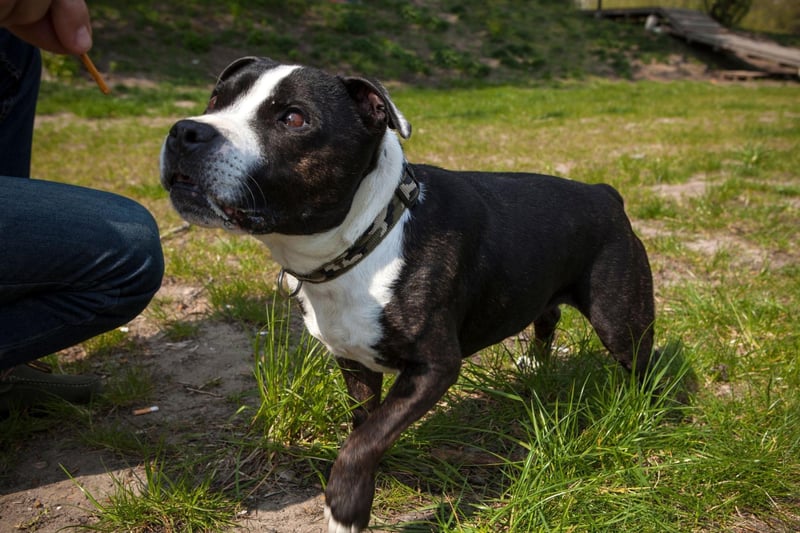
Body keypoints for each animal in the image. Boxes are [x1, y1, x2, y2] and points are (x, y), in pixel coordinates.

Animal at [161, 58, 656, 532]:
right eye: (216, 99)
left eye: (294, 118)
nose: (186, 131)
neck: (368, 238)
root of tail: (604, 193)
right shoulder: (354, 360)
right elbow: (366, 428)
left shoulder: (433, 367)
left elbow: (363, 441)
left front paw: (346, 506)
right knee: (547, 315)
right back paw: (535, 363)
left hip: (619, 318)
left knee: (639, 360)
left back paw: (639, 408)